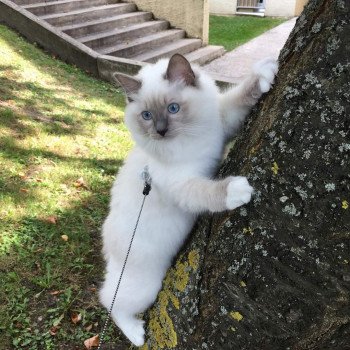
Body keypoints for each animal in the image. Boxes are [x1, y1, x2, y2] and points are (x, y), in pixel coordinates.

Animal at [100, 53, 278, 346]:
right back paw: (136, 335)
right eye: (147, 116)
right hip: (146, 286)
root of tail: (109, 249)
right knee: (109, 301)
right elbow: (211, 193)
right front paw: (237, 191)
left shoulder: (222, 125)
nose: (160, 131)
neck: (190, 141)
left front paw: (264, 74)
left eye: (173, 108)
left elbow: (238, 98)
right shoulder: (183, 186)